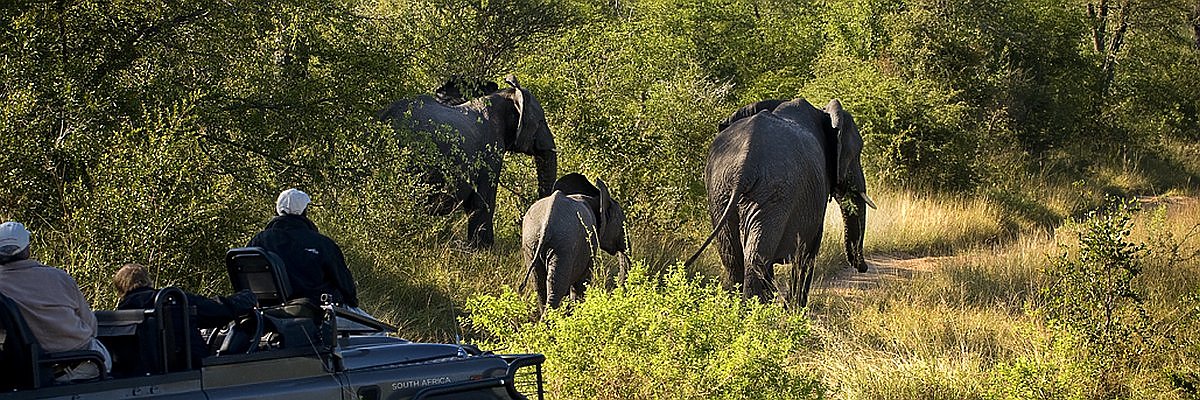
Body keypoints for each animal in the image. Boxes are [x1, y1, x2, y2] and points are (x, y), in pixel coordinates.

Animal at [525, 171, 638, 307]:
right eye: (622, 225)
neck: (595, 198)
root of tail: (546, 225)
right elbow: (583, 280)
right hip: (564, 246)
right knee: (557, 288)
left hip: (532, 244)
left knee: (540, 286)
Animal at [691, 96, 878, 305]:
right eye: (856, 154)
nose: (863, 268)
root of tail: (744, 165)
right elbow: (809, 248)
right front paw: (796, 310)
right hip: (773, 192)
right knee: (757, 255)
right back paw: (756, 309)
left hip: (721, 190)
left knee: (733, 255)